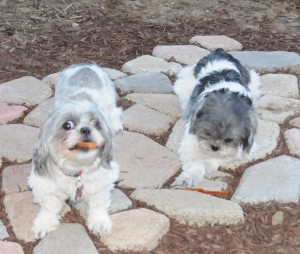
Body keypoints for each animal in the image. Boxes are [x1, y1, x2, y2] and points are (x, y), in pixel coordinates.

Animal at [27, 63, 122, 238]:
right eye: (67, 125)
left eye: (96, 124)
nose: (86, 129)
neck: (76, 169)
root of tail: (86, 65)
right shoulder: (46, 185)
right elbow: (49, 206)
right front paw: (44, 223)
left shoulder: (102, 180)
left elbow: (98, 203)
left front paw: (99, 222)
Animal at [173, 48, 260, 187]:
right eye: (207, 133)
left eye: (229, 140)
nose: (214, 147)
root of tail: (219, 51)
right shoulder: (190, 139)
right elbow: (195, 160)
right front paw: (189, 177)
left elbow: (217, 158)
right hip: (183, 84)